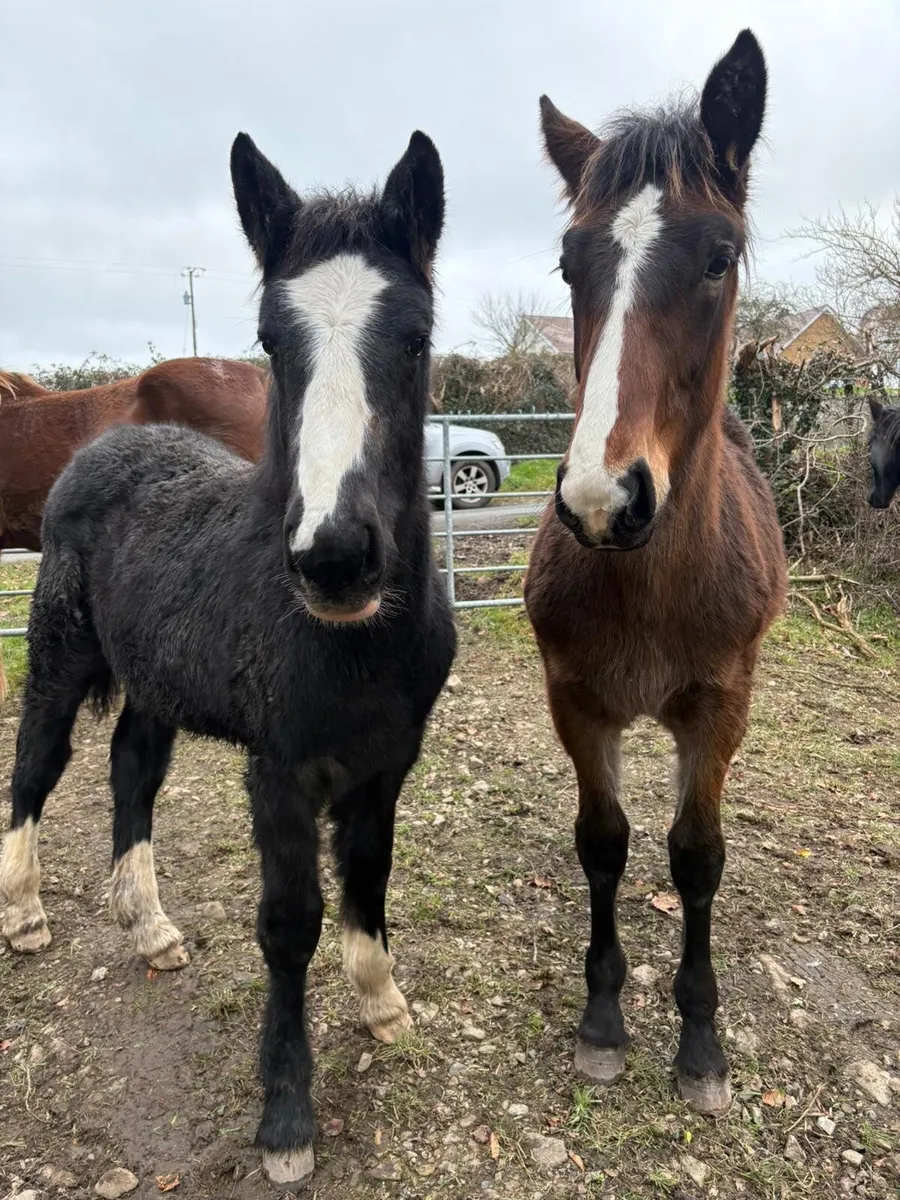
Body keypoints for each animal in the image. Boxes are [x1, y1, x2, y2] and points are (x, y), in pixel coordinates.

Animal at [0, 129, 454, 1187]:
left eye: (416, 336)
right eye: (268, 340)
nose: (335, 557)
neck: (353, 644)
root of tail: (99, 450)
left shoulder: (386, 766)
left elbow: (369, 882)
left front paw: (383, 1005)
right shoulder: (279, 773)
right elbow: (290, 926)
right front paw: (286, 1116)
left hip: (156, 686)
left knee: (131, 768)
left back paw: (150, 925)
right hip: (58, 658)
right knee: (35, 767)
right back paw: (25, 913)